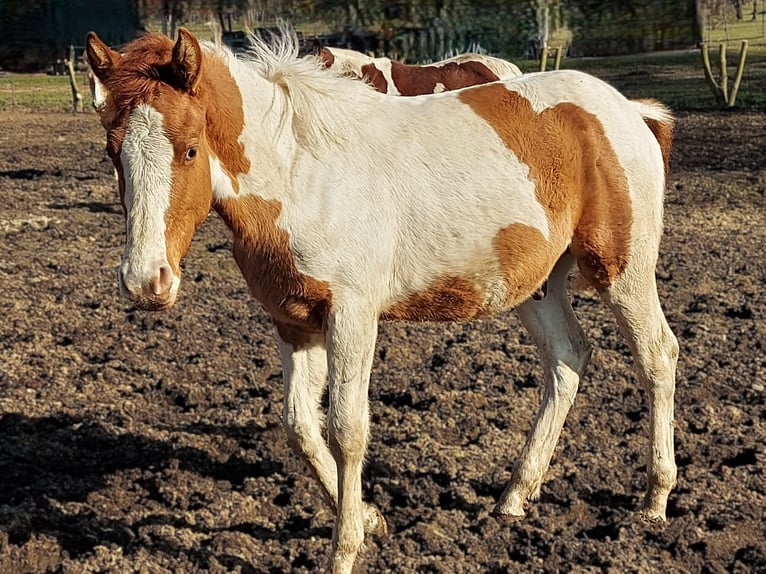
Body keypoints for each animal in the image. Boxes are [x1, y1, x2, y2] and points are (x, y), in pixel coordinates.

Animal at [85, 26, 679, 574]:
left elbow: (346, 430)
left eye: (189, 148)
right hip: (536, 284)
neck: (304, 174)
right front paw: (371, 518)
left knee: (657, 355)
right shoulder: (294, 321)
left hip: (621, 269)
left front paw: (345, 550)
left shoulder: (352, 316)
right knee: (567, 359)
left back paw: (654, 500)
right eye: (113, 152)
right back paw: (514, 496)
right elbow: (299, 426)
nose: (146, 281)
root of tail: (628, 111)